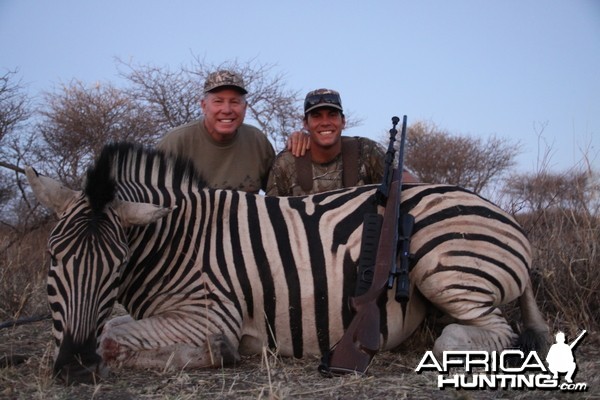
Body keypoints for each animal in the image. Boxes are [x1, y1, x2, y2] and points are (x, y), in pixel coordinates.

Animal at [24, 142, 548, 382]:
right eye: (52, 259)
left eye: (116, 266)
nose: (73, 366)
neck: (177, 237)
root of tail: (505, 216)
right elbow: (112, 326)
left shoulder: (208, 314)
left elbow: (113, 336)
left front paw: (219, 353)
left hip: (447, 269)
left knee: (488, 334)